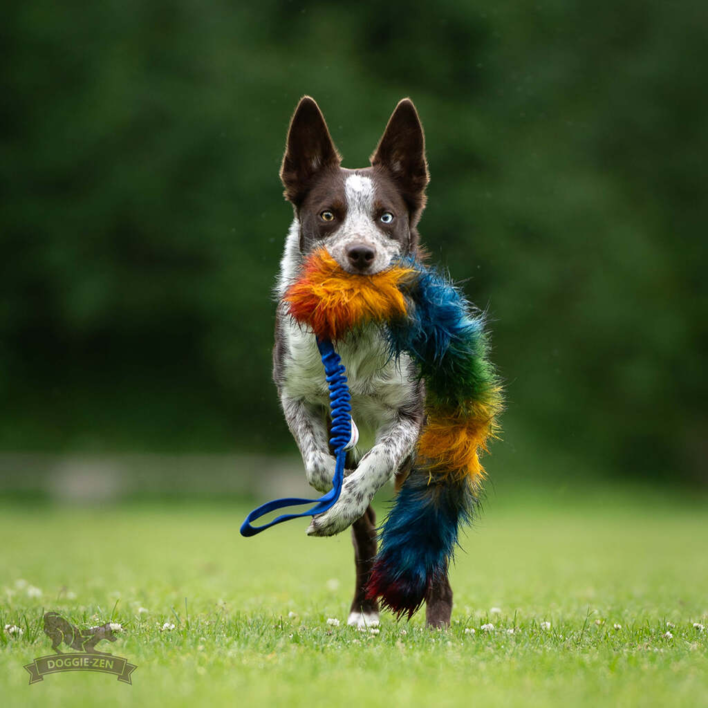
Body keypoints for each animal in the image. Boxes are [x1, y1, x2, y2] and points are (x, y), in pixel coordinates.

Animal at [274, 97, 450, 628]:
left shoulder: (409, 416)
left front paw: (341, 504)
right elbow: (320, 463)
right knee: (366, 525)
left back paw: (437, 613)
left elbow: (374, 466)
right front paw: (334, 490)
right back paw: (364, 609)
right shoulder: (293, 393)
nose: (360, 253)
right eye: (328, 214)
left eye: (386, 217)